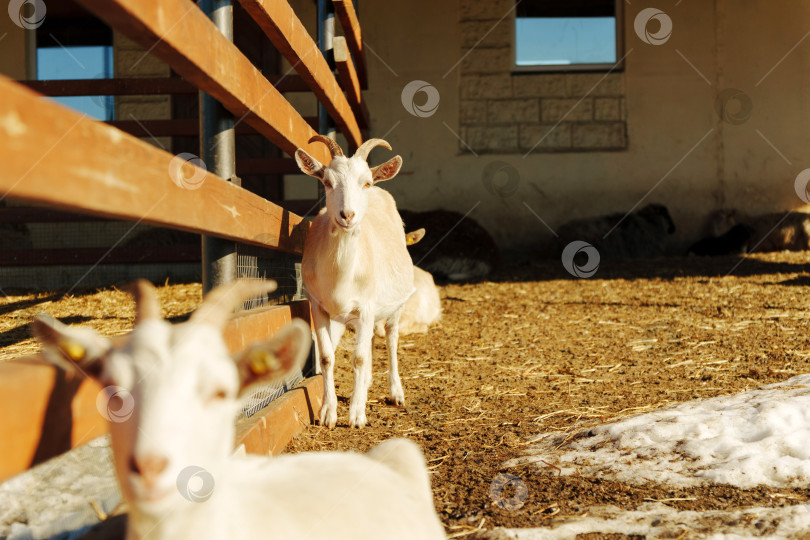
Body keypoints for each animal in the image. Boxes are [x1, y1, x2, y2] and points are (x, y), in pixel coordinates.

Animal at [295, 136, 414, 429]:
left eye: (366, 182)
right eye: (327, 181)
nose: (347, 215)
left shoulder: (367, 306)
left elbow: (358, 358)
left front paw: (357, 416)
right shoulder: (319, 307)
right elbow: (327, 358)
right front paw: (328, 413)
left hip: (395, 306)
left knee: (391, 340)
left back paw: (396, 393)